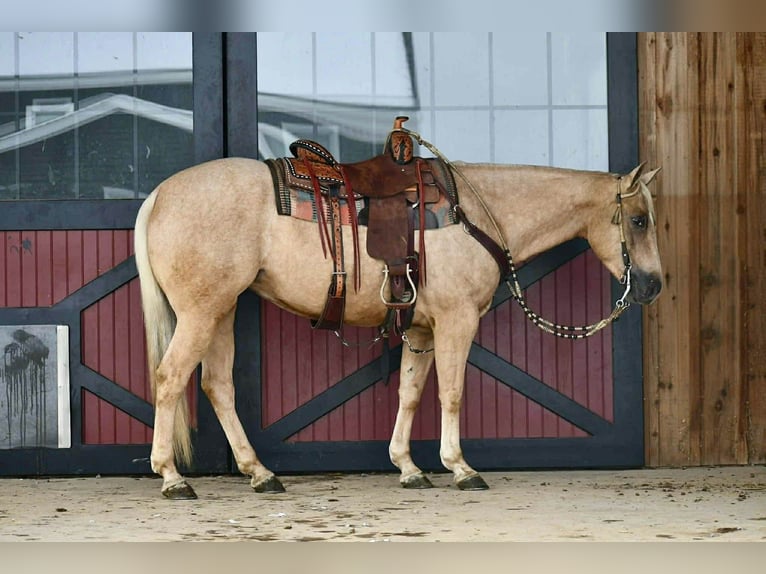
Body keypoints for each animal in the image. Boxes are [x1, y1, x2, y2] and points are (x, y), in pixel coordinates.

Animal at [134, 148, 662, 499]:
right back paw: (173, 477)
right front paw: (461, 467)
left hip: (220, 311)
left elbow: (410, 391)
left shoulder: (421, 329)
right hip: (201, 313)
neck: (476, 211)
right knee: (171, 378)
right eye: (638, 220)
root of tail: (159, 193)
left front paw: (408, 467)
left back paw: (259, 472)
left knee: (217, 386)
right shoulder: (455, 321)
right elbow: (451, 392)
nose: (653, 285)